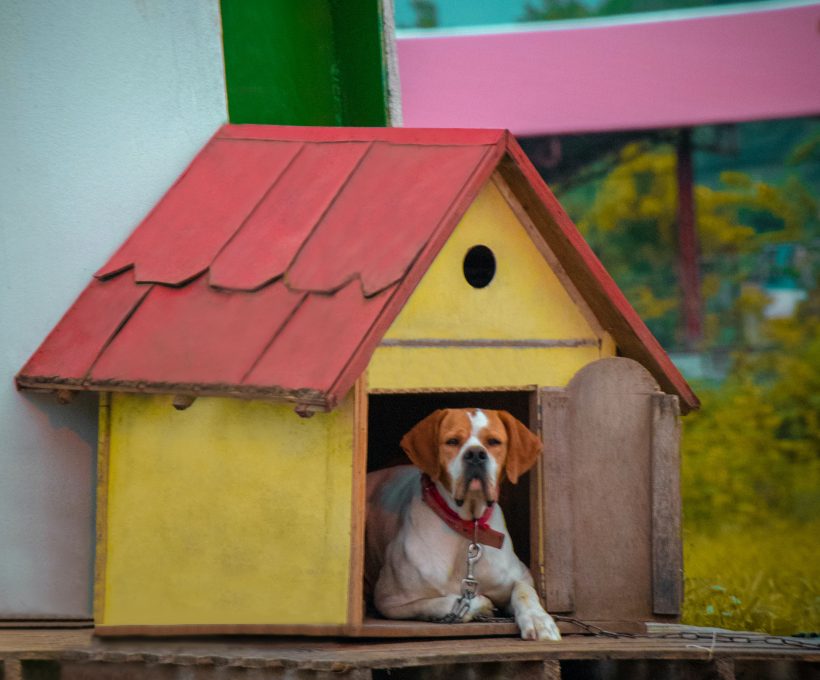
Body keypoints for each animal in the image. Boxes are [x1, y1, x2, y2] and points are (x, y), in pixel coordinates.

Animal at [366, 410, 564, 644]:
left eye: (493, 441)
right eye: (452, 441)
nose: (476, 454)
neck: (468, 526)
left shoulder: (522, 575)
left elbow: (524, 591)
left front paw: (538, 619)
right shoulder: (390, 601)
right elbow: (446, 601)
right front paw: (478, 605)